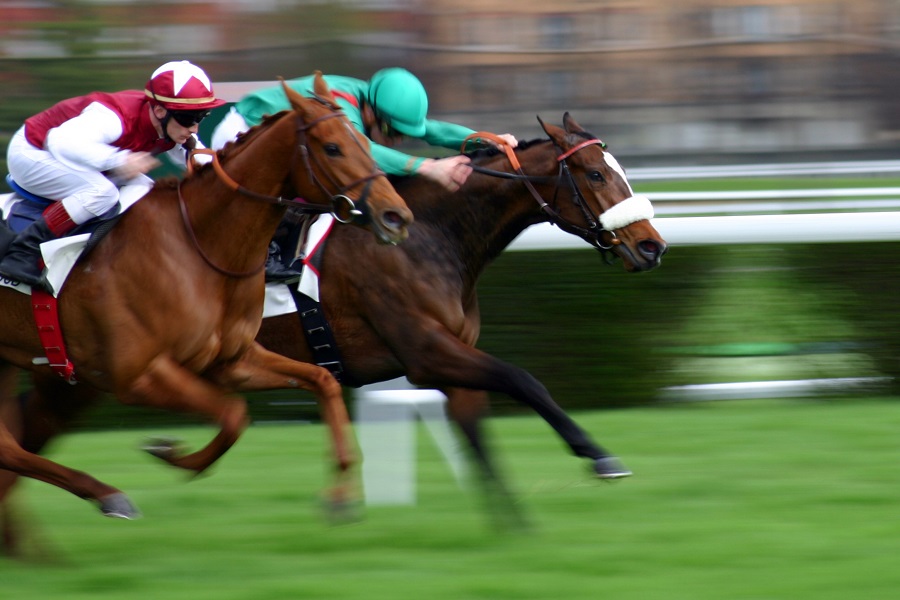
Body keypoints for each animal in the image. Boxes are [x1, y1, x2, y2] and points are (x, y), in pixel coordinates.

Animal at [0, 72, 414, 540]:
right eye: (333, 148)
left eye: (365, 142)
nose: (396, 217)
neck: (200, 245)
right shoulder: (139, 375)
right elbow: (233, 413)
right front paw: (171, 452)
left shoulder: (231, 360)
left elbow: (321, 382)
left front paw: (340, 495)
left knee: (6, 446)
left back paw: (105, 496)